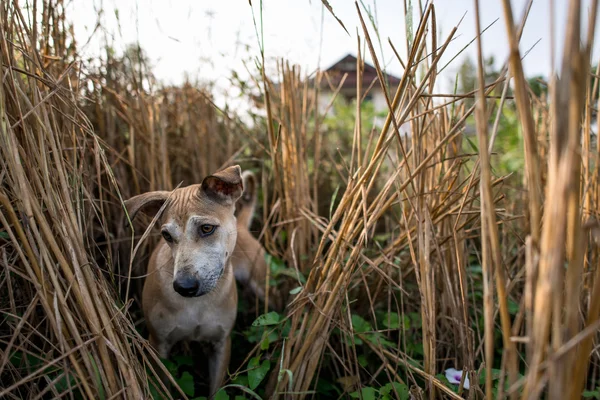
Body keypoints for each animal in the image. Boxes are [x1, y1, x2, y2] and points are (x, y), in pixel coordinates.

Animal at [125, 164, 244, 396]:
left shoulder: (221, 345)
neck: (197, 304)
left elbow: (216, 390)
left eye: (207, 228)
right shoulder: (159, 345)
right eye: (167, 236)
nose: (184, 287)